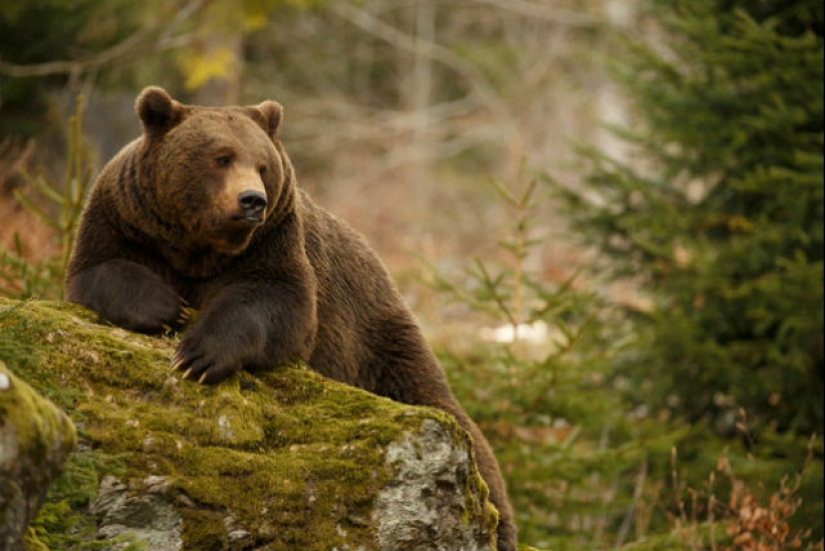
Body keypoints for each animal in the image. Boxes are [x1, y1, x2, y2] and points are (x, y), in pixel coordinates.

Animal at [66, 87, 516, 551]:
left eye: (262, 165)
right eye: (221, 157)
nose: (252, 200)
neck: (199, 248)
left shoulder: (273, 243)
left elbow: (276, 304)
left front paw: (198, 354)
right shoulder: (124, 220)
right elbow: (98, 270)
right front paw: (164, 307)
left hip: (378, 342)